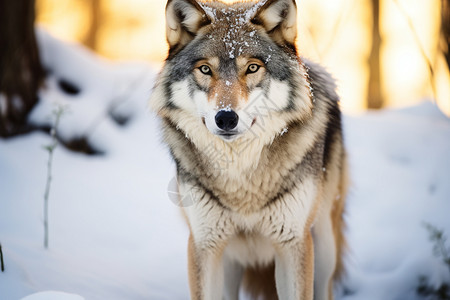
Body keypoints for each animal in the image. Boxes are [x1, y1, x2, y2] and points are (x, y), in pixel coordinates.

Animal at [149, 1, 350, 298]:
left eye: (253, 68)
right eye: (205, 69)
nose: (225, 118)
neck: (240, 177)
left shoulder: (293, 243)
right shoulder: (204, 245)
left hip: (324, 245)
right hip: (232, 257)